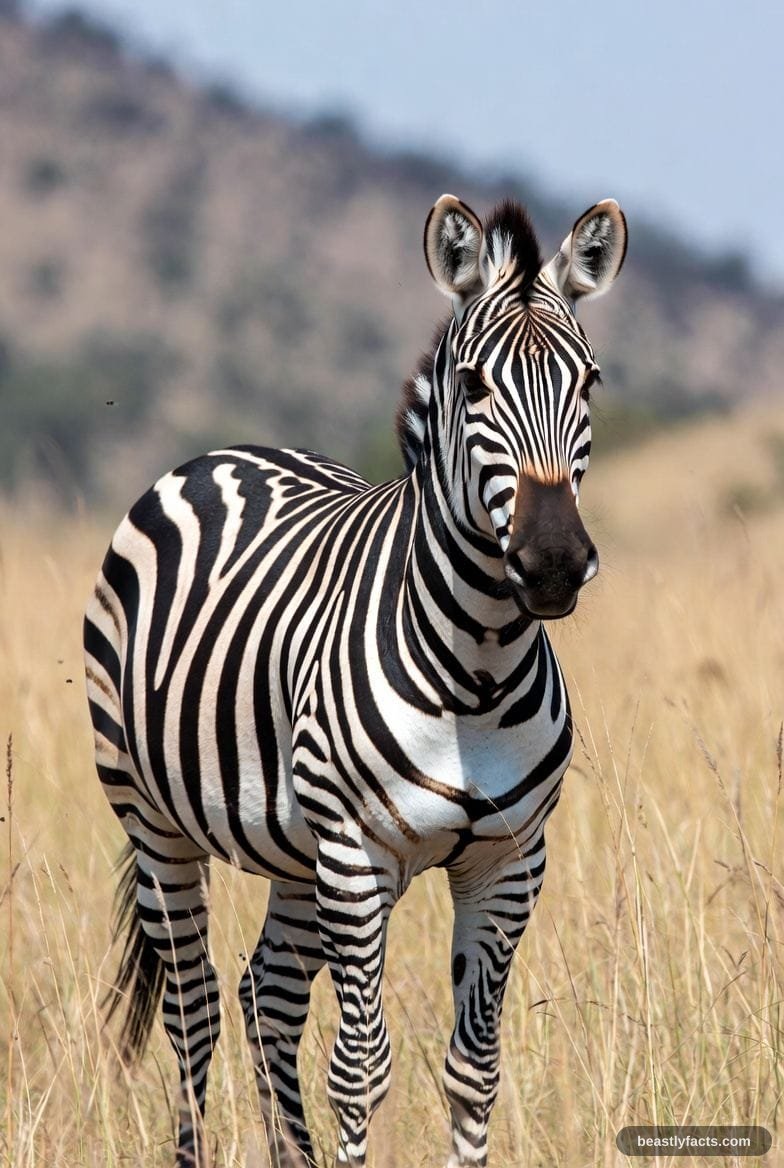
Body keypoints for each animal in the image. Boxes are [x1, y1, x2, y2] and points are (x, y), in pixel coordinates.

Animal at [84, 191, 627, 1168]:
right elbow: (360, 1071)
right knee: (195, 1009)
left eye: (589, 384)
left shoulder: (509, 862)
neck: (478, 666)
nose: (555, 562)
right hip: (157, 822)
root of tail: (224, 454)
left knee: (265, 998)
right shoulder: (357, 856)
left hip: (297, 852)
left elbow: (473, 1070)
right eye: (475, 387)